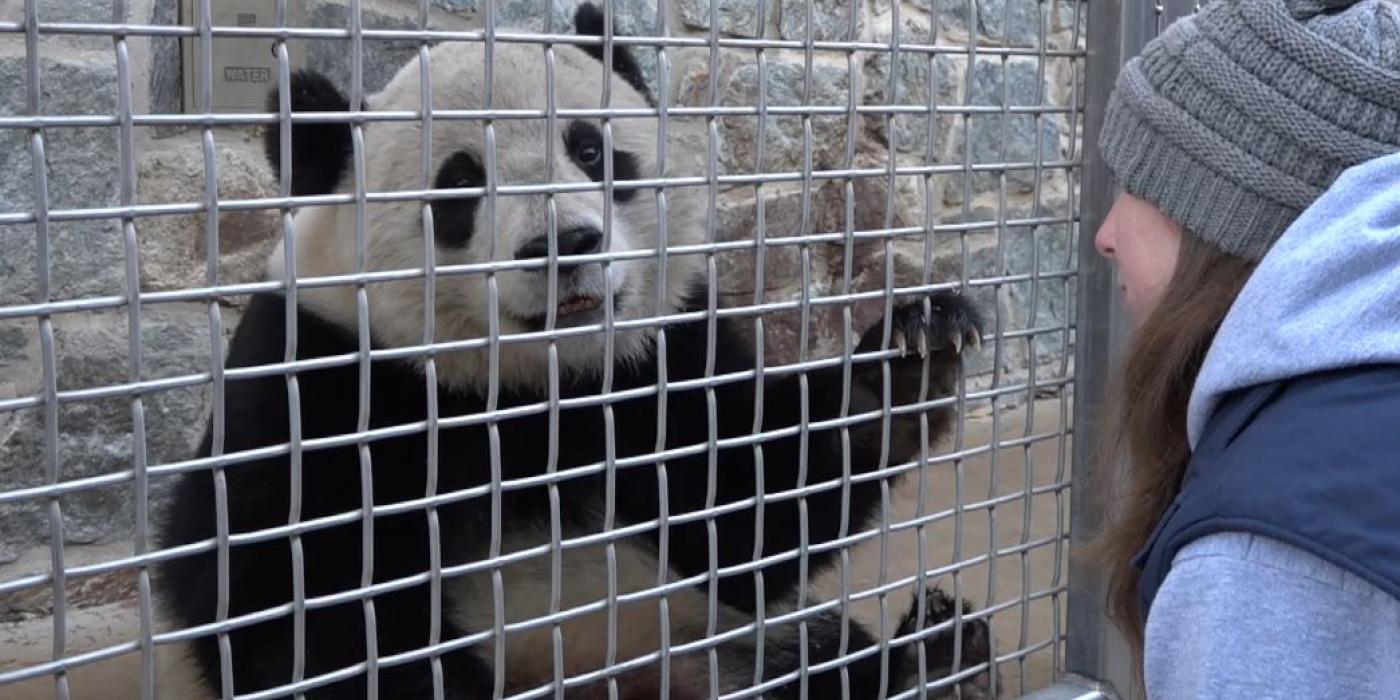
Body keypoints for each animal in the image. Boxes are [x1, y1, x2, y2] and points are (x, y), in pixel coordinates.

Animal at [156, 2, 996, 697]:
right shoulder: (320, 373)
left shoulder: (664, 355)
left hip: (702, 639)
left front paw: (912, 352)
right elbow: (282, 600)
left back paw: (938, 659)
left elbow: (742, 507)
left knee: (806, 653)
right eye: (459, 185)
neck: (538, 384)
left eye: (592, 151)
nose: (566, 245)